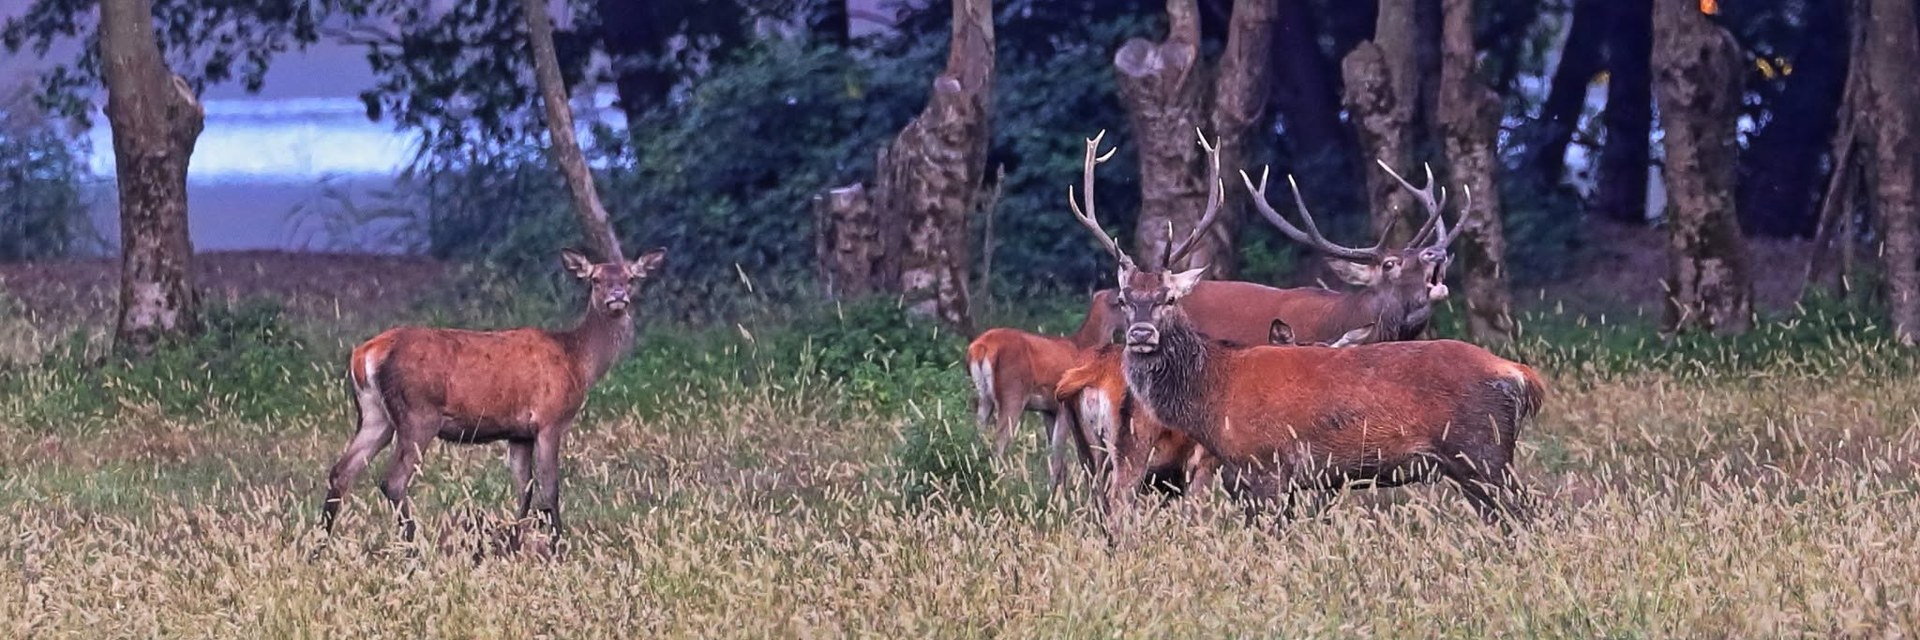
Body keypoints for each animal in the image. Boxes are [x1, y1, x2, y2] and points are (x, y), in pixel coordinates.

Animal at [320, 247, 667, 542]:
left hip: (376, 415)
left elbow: (524, 489)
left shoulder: (519, 434)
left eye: (631, 278)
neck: (577, 361)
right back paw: (413, 544)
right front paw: (558, 544)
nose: (617, 297)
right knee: (392, 481)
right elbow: (550, 488)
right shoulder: (550, 420)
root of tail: (366, 354)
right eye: (595, 279)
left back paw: (321, 543)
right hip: (418, 414)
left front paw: (514, 541)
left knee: (341, 471)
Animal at [1065, 131, 1543, 527]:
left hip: (1483, 451)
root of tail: (1520, 375)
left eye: (1169, 298)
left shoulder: (1267, 465)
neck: (1212, 395)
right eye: (1126, 298)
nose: (1141, 334)